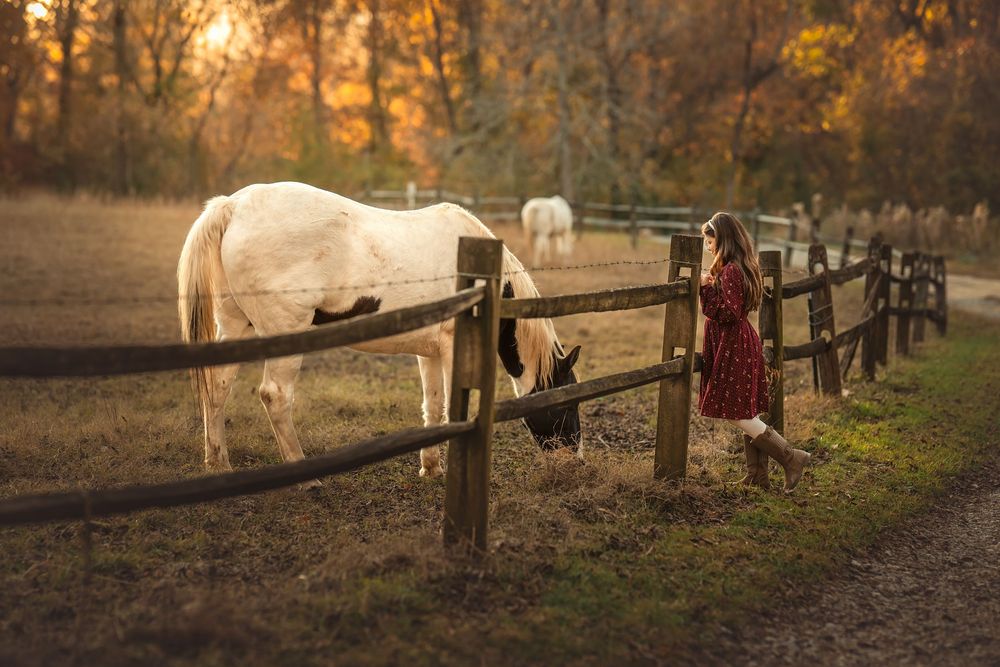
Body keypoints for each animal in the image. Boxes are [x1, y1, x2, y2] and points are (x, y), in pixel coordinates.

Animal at [177, 181, 582, 482]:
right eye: (566, 403)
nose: (573, 460)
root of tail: (233, 205)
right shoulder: (454, 349)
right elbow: (456, 410)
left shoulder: (430, 352)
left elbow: (433, 406)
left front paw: (431, 468)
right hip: (283, 335)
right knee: (275, 396)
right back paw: (304, 475)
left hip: (236, 327)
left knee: (217, 386)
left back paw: (218, 463)